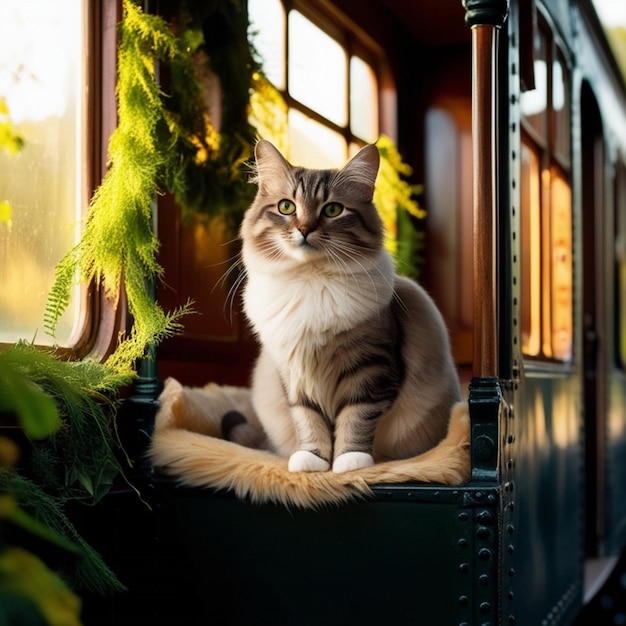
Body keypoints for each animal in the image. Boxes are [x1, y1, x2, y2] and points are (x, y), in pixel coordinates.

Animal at [232, 140, 460, 472]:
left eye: (332, 209)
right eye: (287, 207)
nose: (304, 229)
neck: (311, 281)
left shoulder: (370, 370)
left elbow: (355, 419)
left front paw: (348, 462)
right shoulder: (295, 376)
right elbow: (308, 421)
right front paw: (313, 461)